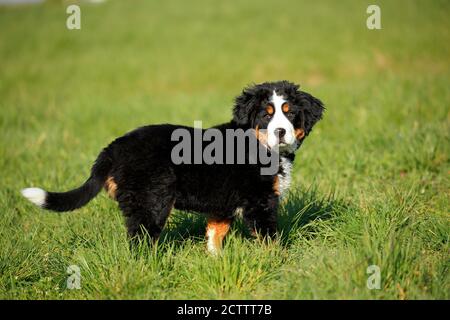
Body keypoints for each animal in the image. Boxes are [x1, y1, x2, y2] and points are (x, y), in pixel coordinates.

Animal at [22, 80, 324, 255]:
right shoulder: (260, 202)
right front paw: (279, 262)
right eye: (266, 115)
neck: (258, 145)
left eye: (290, 113)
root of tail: (112, 149)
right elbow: (270, 238)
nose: (281, 132)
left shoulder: (223, 203)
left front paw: (216, 261)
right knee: (142, 240)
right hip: (151, 200)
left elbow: (215, 234)